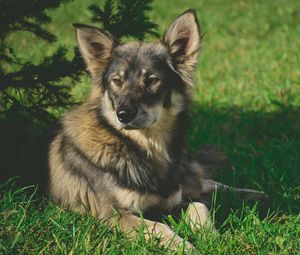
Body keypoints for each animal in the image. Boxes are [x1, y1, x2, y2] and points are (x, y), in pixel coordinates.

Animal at [48, 9, 266, 251]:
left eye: (152, 80)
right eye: (116, 81)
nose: (123, 115)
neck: (146, 147)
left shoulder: (172, 201)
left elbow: (198, 206)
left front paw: (210, 236)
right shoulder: (115, 215)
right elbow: (159, 227)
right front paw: (186, 247)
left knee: (206, 183)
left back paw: (254, 194)